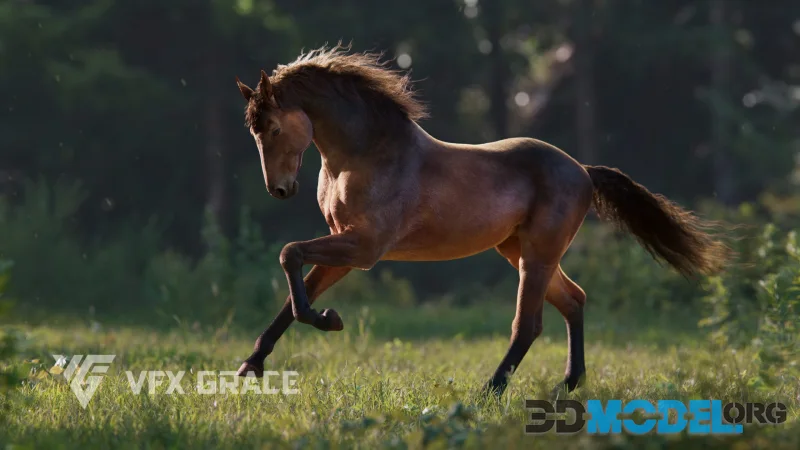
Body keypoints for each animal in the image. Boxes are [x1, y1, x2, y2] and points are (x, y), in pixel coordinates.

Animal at [232, 45, 727, 396]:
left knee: (529, 324)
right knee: (573, 301)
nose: (279, 190)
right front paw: (252, 365)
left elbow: (288, 255)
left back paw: (489, 392)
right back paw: (567, 385)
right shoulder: (344, 243)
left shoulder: (364, 247)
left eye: (273, 127)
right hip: (518, 250)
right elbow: (294, 287)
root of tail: (583, 171)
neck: (364, 155)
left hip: (538, 254)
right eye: (253, 131)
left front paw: (328, 320)